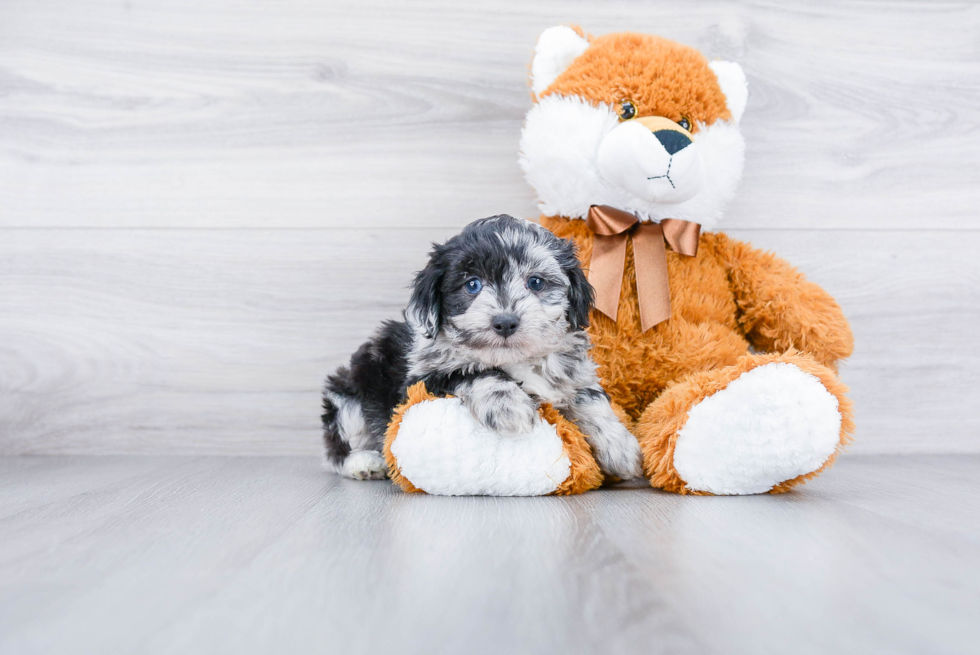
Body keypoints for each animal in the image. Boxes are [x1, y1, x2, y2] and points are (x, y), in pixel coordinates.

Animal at [322, 215, 644, 482]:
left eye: (536, 282)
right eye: (472, 285)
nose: (505, 321)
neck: (514, 359)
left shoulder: (575, 373)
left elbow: (590, 399)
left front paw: (620, 445)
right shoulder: (422, 380)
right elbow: (475, 373)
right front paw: (507, 404)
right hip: (350, 394)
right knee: (339, 448)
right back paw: (364, 463)